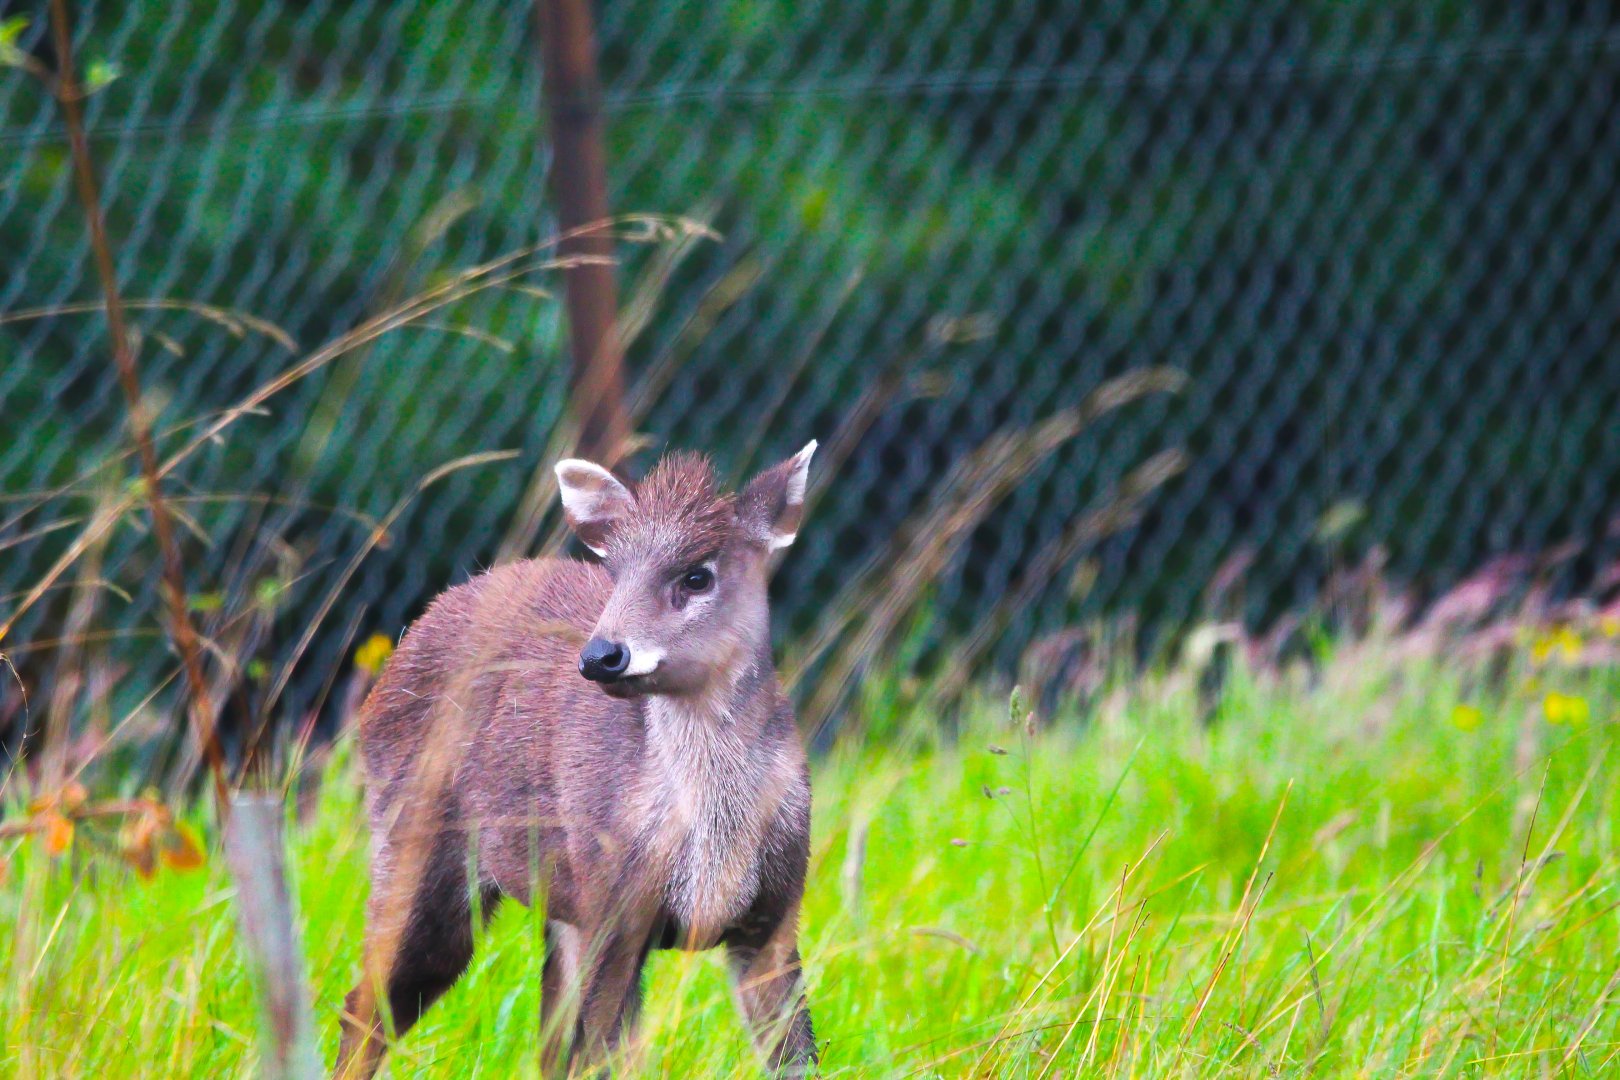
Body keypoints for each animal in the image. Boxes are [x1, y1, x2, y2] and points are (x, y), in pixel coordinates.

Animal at [334, 443, 820, 1078]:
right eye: (616, 571)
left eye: (697, 575)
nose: (602, 656)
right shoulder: (612, 910)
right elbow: (614, 1058)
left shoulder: (775, 918)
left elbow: (798, 1056)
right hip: (416, 848)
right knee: (365, 1006)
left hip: (556, 909)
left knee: (543, 1043)